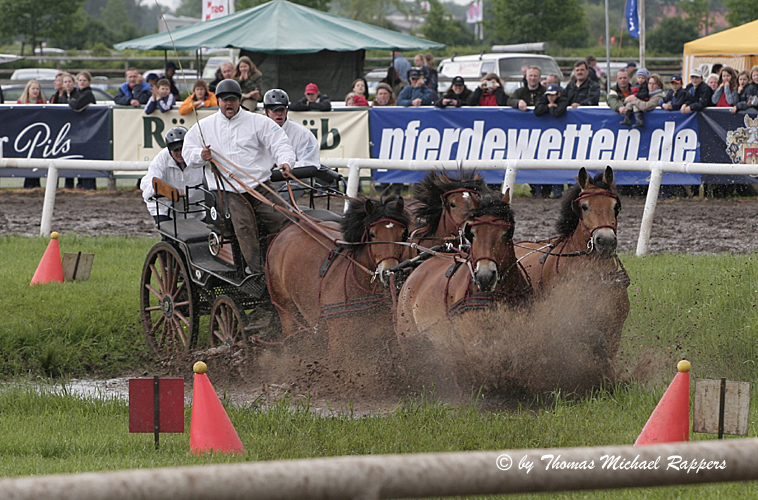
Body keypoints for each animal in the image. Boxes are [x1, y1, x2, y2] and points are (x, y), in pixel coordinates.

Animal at [266, 195, 410, 386]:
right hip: (284, 304)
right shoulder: (338, 340)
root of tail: (285, 231)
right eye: (372, 234)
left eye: (402, 234)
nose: (389, 272)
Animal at [516, 166, 628, 358]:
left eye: (615, 206)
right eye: (584, 206)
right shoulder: (565, 322)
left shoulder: (616, 326)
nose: (606, 241)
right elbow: (596, 340)